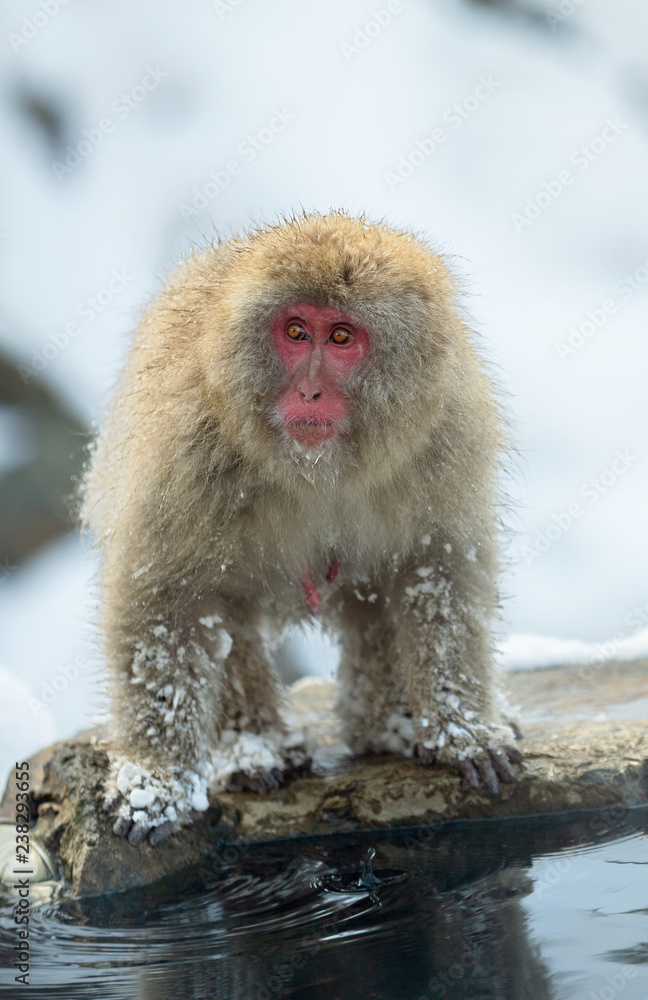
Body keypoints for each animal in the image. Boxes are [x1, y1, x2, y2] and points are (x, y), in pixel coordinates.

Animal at [82, 211, 521, 846]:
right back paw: (253, 749)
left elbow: (438, 570)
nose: (309, 390)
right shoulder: (187, 443)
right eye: (295, 332)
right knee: (220, 613)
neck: (322, 464)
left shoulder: (446, 433)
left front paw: (462, 730)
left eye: (340, 337)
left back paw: (389, 725)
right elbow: (165, 596)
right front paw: (156, 781)